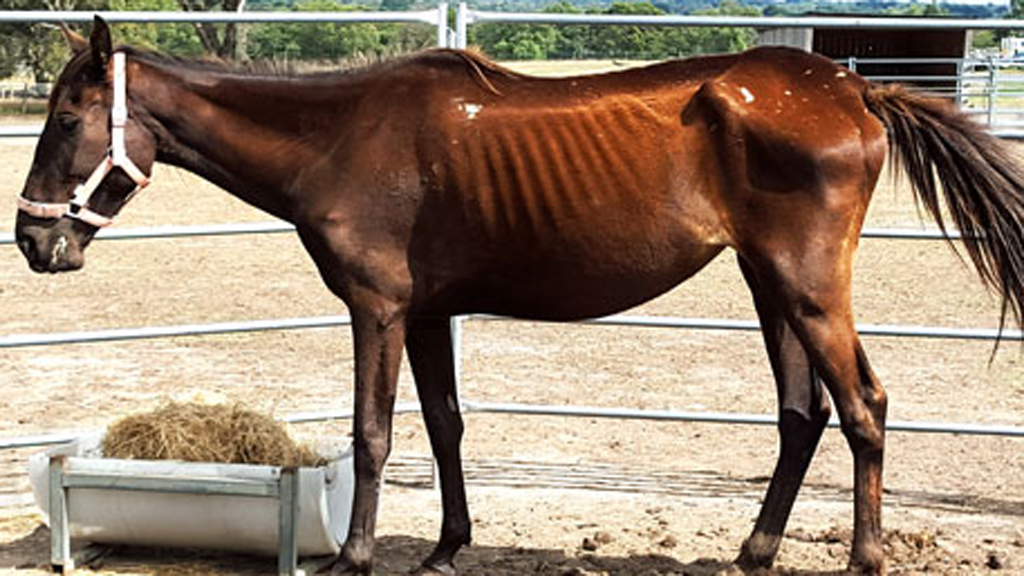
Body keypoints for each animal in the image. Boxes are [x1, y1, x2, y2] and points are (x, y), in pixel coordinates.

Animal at [14, 15, 1024, 569]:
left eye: (65, 118)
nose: (32, 240)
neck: (340, 136)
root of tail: (853, 88)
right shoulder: (426, 313)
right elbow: (445, 426)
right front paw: (446, 547)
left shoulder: (377, 309)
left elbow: (374, 435)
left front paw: (356, 557)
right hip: (768, 284)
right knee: (801, 415)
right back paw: (754, 552)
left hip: (807, 287)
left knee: (864, 407)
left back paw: (863, 558)